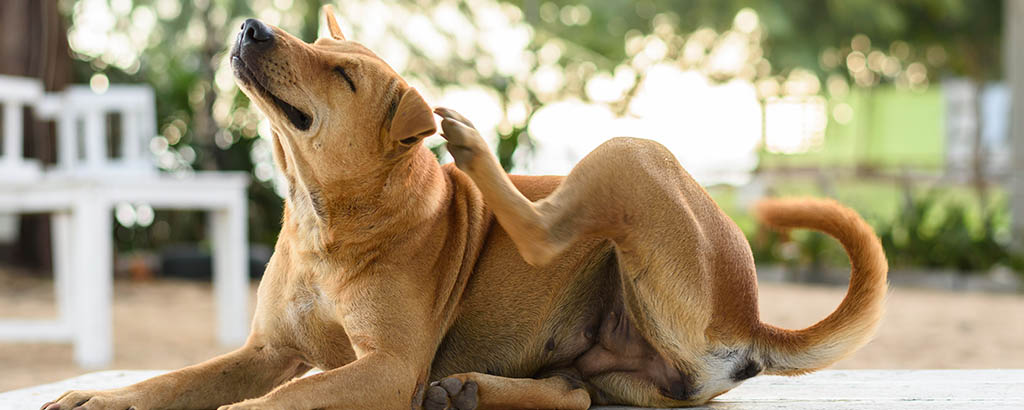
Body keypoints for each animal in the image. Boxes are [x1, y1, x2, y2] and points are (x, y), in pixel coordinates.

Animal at [41, 7, 888, 410]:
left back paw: (475, 149)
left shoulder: (387, 367)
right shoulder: (265, 350)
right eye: (316, 43)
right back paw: (475, 389)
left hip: (631, 154)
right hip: (611, 362)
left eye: (343, 76)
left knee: (547, 235)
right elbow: (173, 381)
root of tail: (751, 316)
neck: (328, 219)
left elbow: (285, 398)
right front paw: (96, 395)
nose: (250, 25)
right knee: (577, 392)